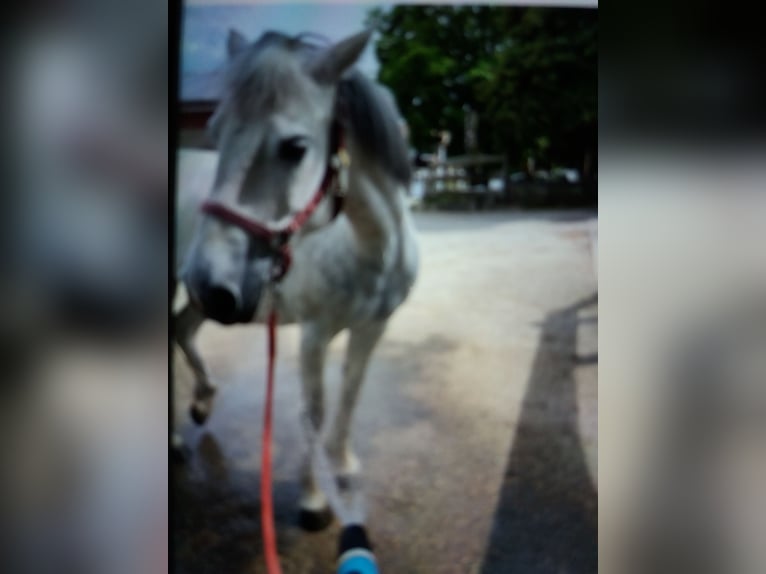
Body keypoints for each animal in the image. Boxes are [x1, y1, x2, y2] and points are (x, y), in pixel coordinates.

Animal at [174, 28, 419, 530]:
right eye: (215, 132)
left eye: (295, 148)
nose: (208, 279)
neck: (370, 247)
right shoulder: (314, 334)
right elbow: (314, 410)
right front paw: (313, 501)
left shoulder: (373, 327)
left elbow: (350, 394)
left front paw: (342, 467)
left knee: (181, 329)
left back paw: (203, 402)